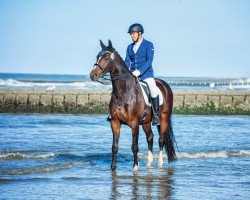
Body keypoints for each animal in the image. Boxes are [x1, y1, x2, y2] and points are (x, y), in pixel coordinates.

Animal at [89, 39, 177, 173]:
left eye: (107, 58)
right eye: (97, 57)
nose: (92, 75)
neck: (124, 93)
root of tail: (164, 84)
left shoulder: (134, 124)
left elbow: (134, 146)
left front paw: (135, 167)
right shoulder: (115, 122)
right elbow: (114, 146)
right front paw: (112, 168)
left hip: (164, 118)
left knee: (161, 140)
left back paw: (160, 163)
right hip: (146, 122)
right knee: (150, 137)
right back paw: (149, 163)